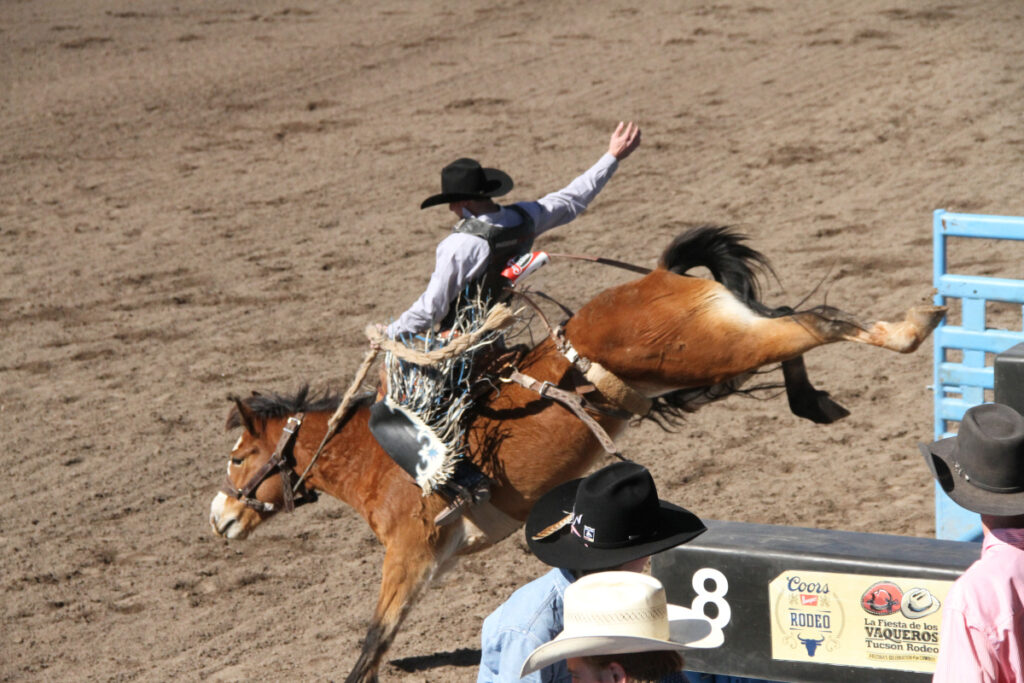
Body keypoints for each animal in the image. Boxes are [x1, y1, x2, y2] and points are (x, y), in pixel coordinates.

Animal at [209, 227, 950, 679]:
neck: (377, 458)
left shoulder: (411, 551)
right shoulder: (439, 557)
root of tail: (657, 276)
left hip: (708, 349)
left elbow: (373, 636)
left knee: (812, 320)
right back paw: (818, 398)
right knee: (791, 318)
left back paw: (915, 325)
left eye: (240, 457)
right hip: (719, 347)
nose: (219, 517)